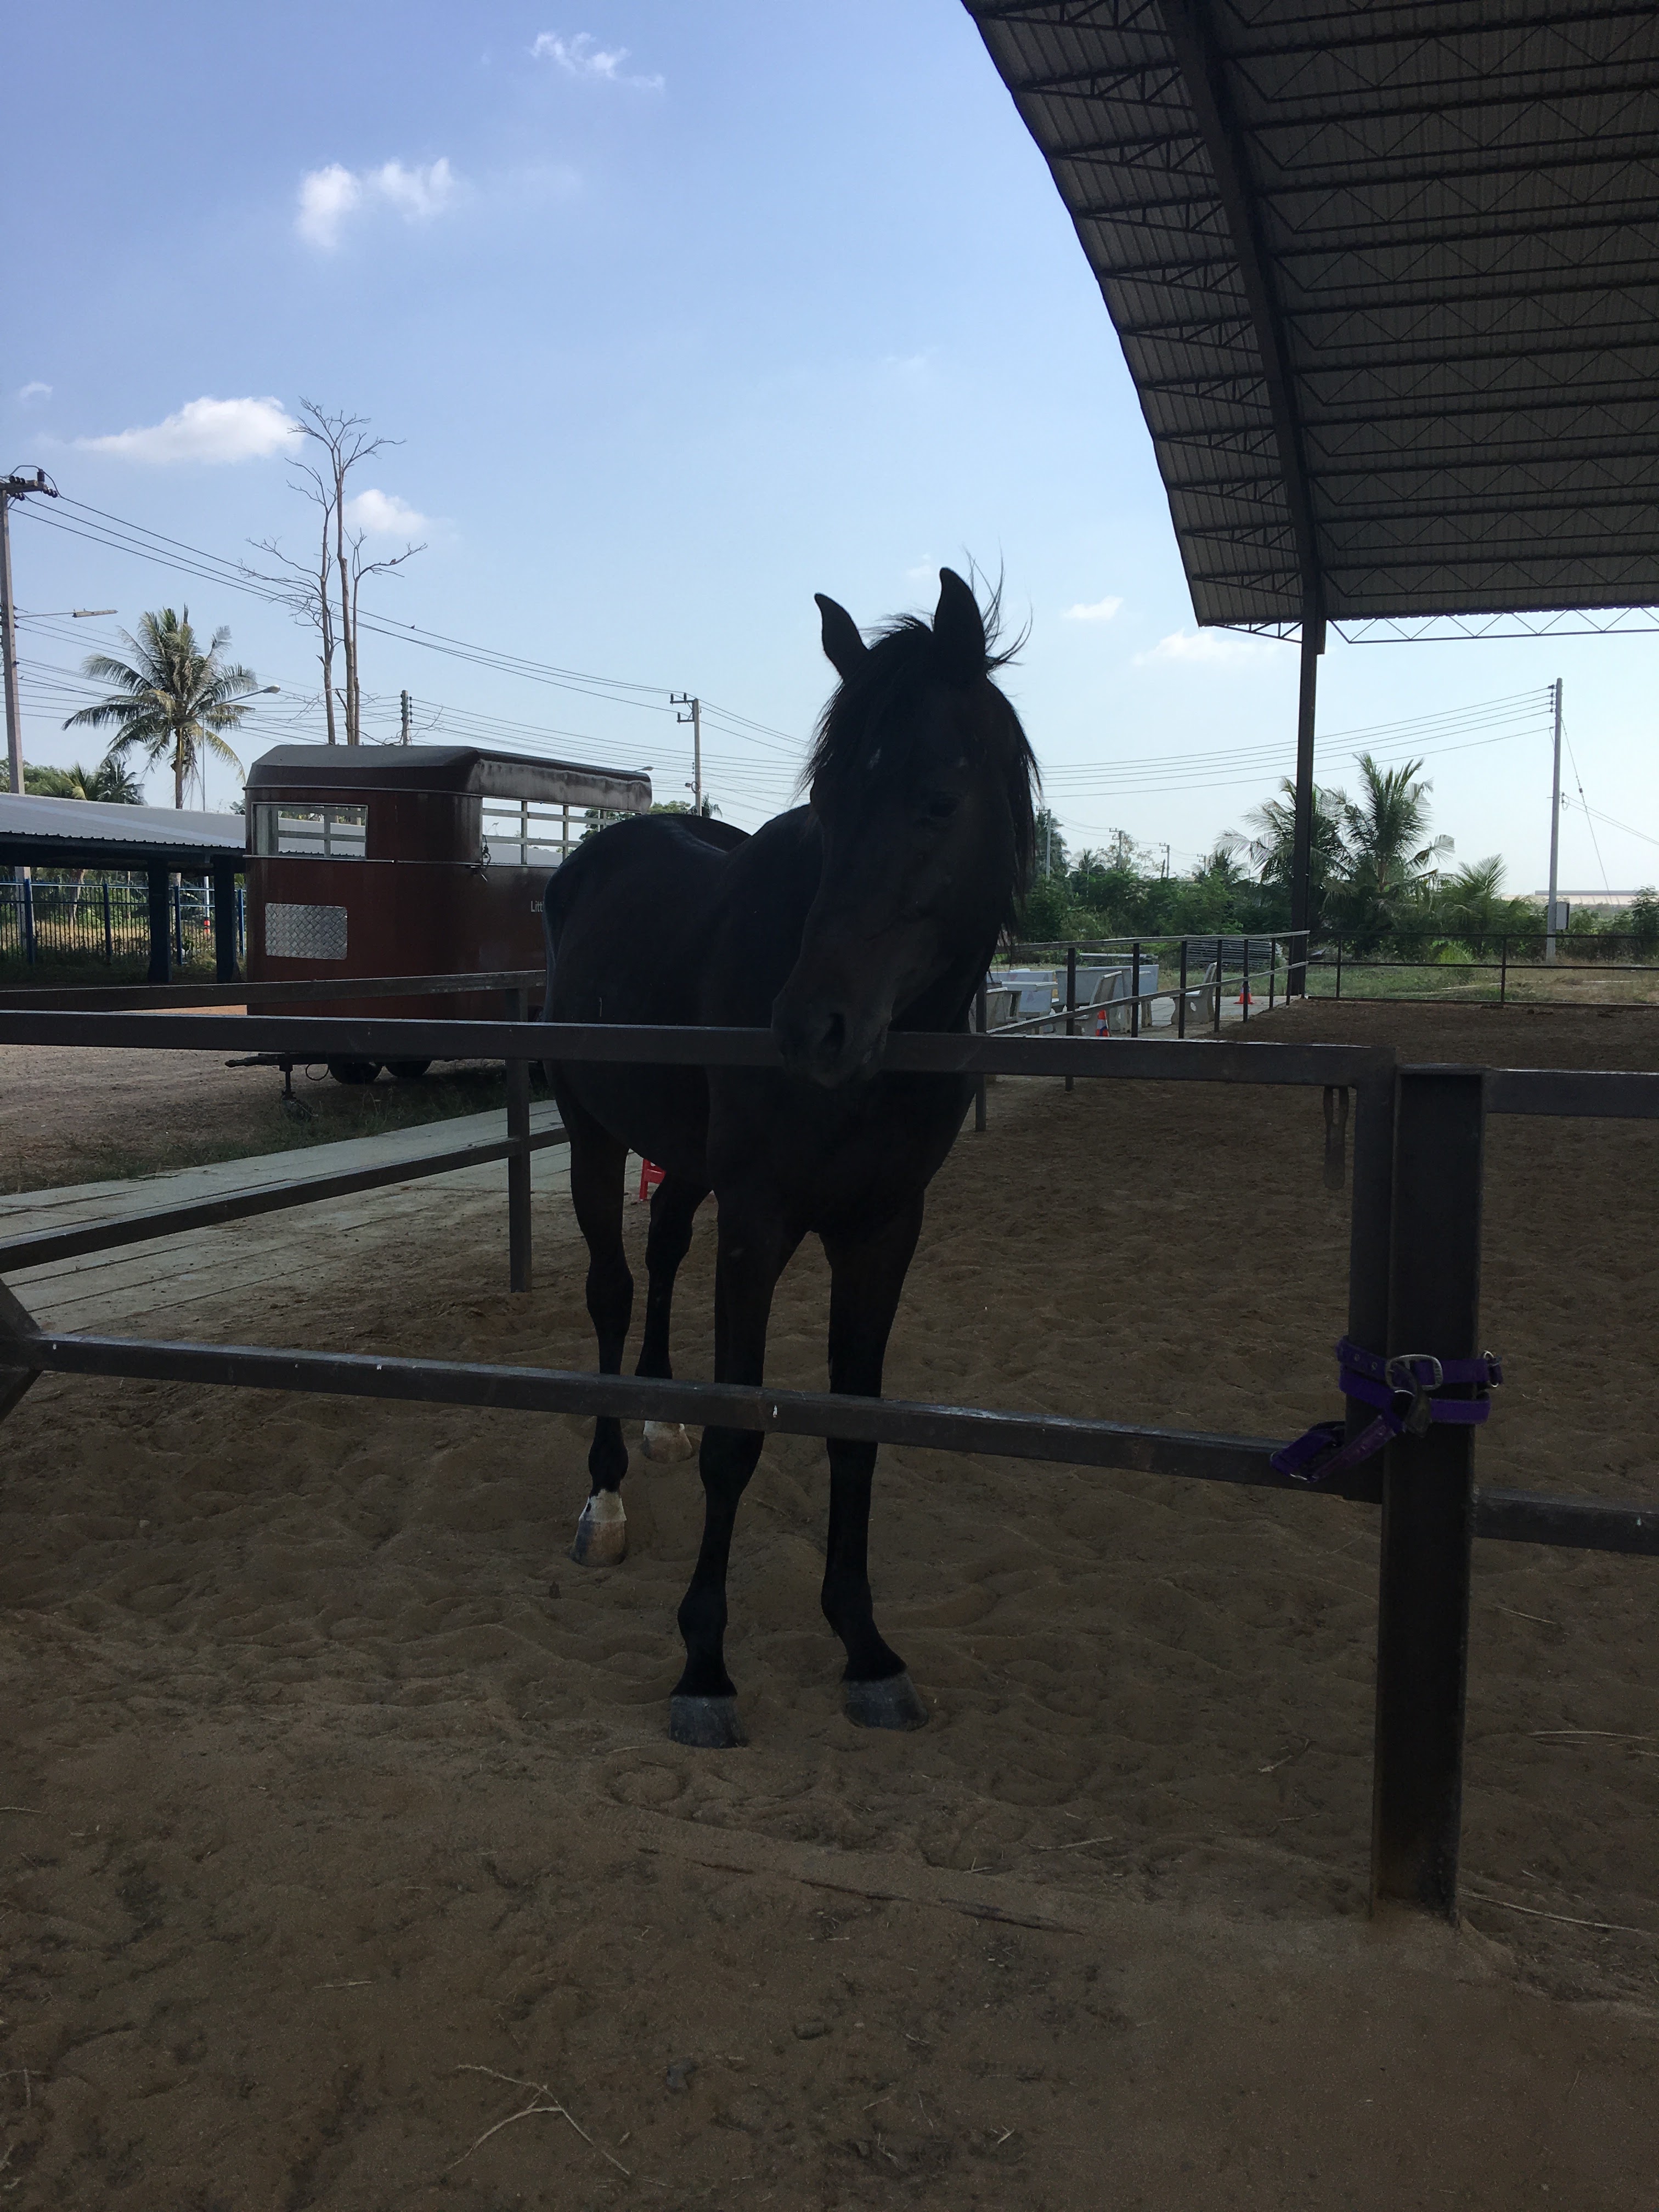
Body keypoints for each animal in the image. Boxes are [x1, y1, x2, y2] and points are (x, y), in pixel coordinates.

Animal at [539, 568, 1037, 1748]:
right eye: (830, 806)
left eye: (936, 801)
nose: (813, 1028)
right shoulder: (761, 1221)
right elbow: (742, 1436)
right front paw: (704, 1667)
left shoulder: (883, 1227)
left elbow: (854, 1435)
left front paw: (866, 1648)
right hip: (592, 1134)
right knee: (612, 1288)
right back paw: (605, 1495)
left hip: (685, 1162)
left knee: (662, 1255)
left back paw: (660, 1418)